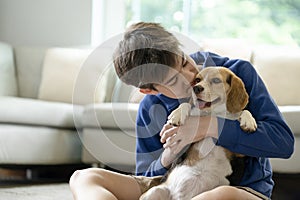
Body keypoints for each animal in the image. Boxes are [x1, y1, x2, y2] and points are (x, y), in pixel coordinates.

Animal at [139, 67, 256, 200]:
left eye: (216, 80)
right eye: (197, 80)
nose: (196, 88)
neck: (214, 113)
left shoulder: (239, 153)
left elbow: (245, 111)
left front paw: (249, 121)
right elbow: (186, 104)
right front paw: (177, 114)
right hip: (155, 191)